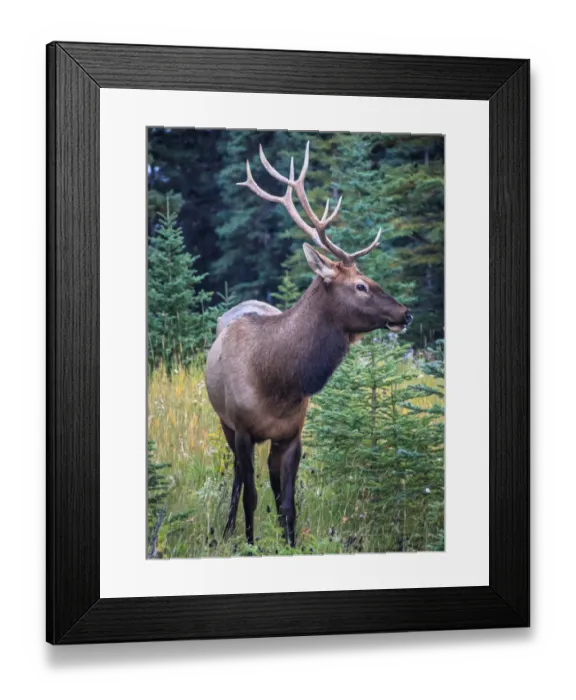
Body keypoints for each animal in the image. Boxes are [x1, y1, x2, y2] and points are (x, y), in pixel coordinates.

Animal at [205, 142, 412, 548]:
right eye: (361, 285)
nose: (405, 313)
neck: (277, 381)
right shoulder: (243, 430)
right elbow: (252, 495)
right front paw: (250, 544)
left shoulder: (292, 434)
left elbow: (288, 502)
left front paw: (290, 545)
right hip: (224, 422)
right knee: (238, 478)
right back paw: (227, 530)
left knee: (270, 484)